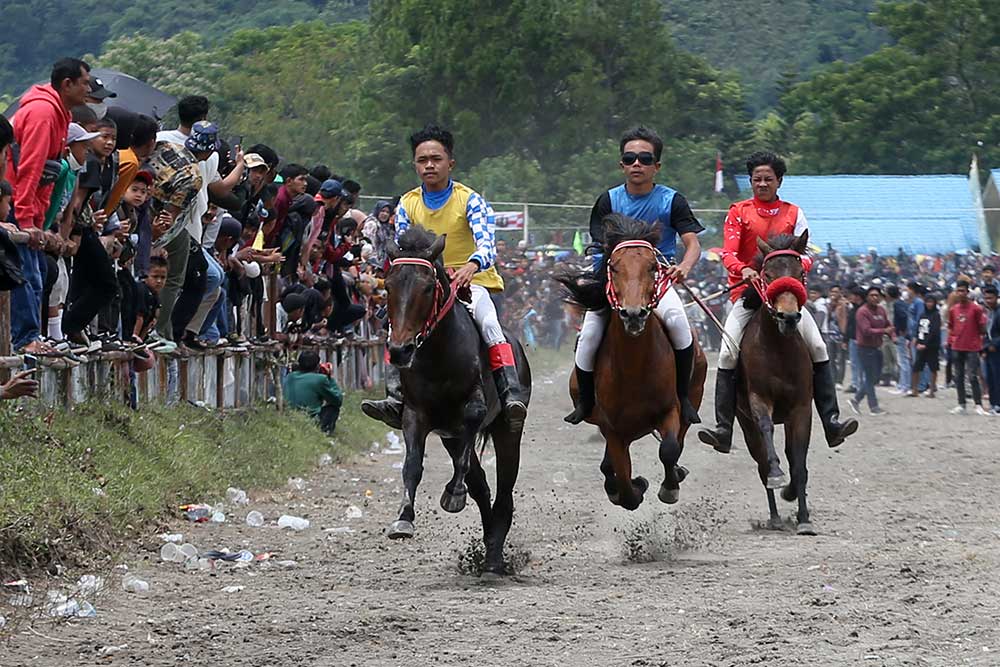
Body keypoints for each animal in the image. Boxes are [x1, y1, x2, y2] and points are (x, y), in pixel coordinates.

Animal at [380, 227, 532, 576]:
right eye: (388, 285)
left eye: (426, 287)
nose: (400, 351)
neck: (438, 355)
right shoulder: (417, 415)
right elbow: (412, 465)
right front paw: (403, 520)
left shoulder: (472, 410)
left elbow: (472, 420)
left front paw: (453, 494)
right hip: (449, 435)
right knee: (482, 487)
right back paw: (490, 545)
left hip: (507, 429)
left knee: (504, 489)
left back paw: (494, 556)